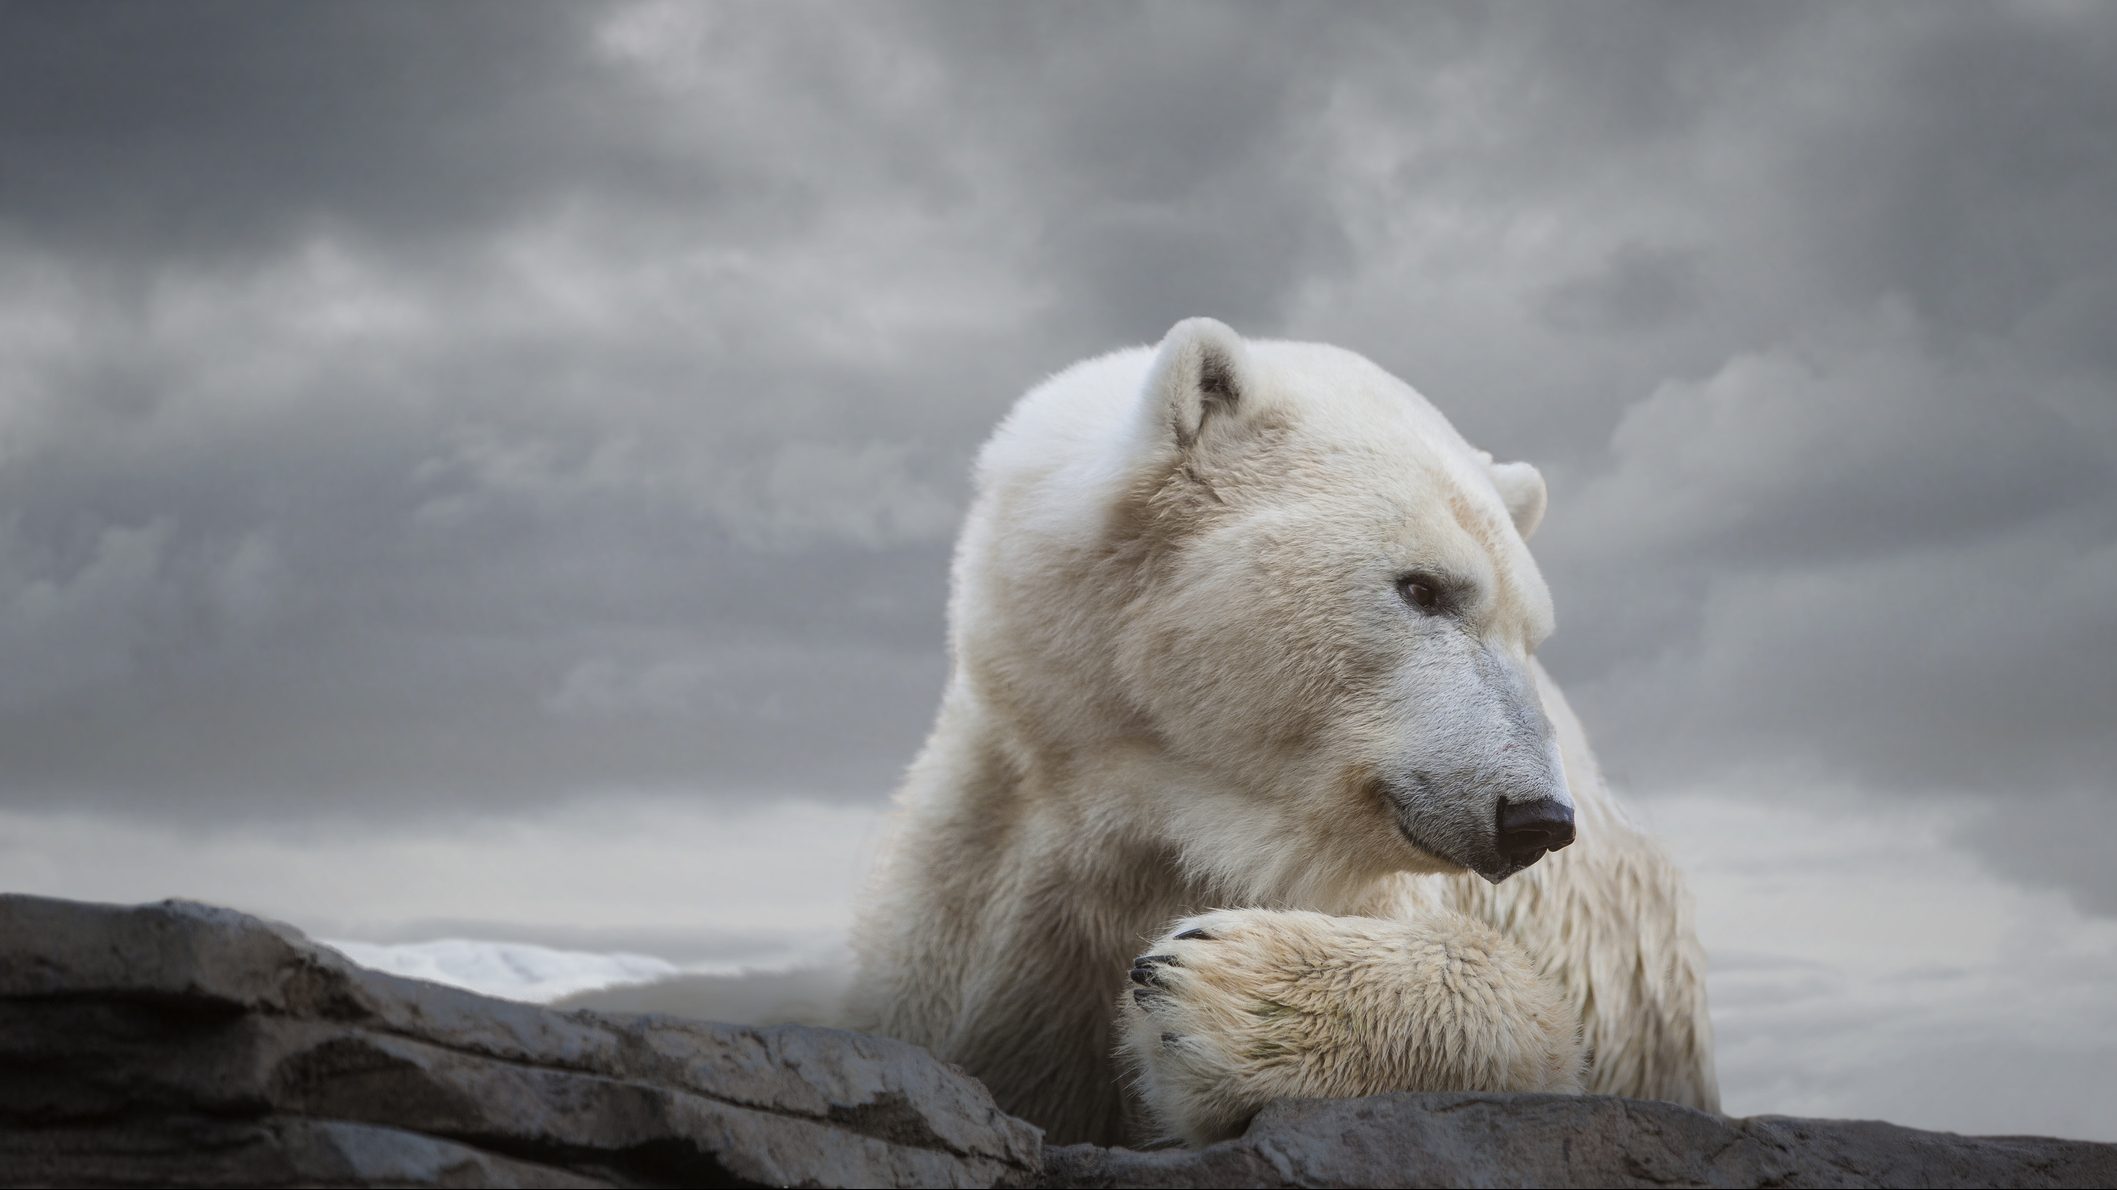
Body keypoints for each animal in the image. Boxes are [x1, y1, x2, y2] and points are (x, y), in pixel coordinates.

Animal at [834, 319, 1710, 1143]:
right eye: (1421, 589)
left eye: (1530, 634)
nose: (1536, 817)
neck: (1149, 805)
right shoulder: (979, 884)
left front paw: (1211, 993)